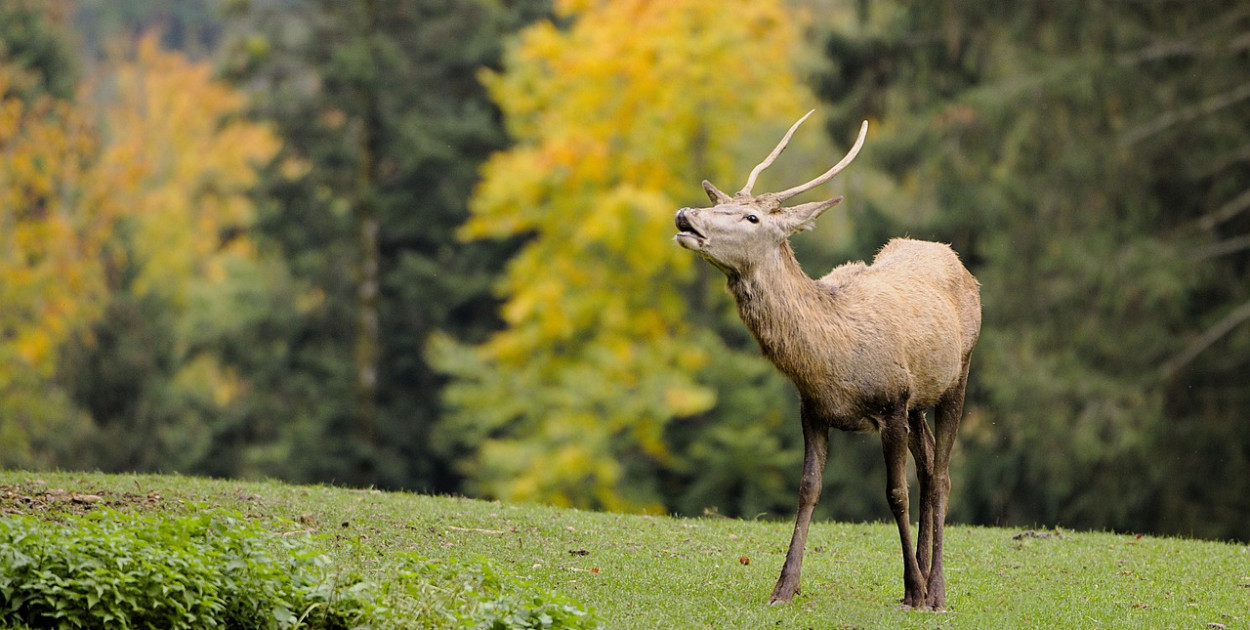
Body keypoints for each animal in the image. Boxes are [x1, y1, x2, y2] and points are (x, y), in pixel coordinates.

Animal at [670, 110, 980, 607]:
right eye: (722, 203)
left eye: (752, 216)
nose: (686, 215)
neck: (830, 359)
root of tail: (952, 256)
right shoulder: (813, 408)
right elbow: (807, 489)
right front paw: (784, 587)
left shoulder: (892, 403)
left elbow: (896, 493)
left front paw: (914, 590)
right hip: (919, 403)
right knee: (930, 465)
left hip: (958, 374)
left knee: (942, 476)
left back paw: (934, 590)